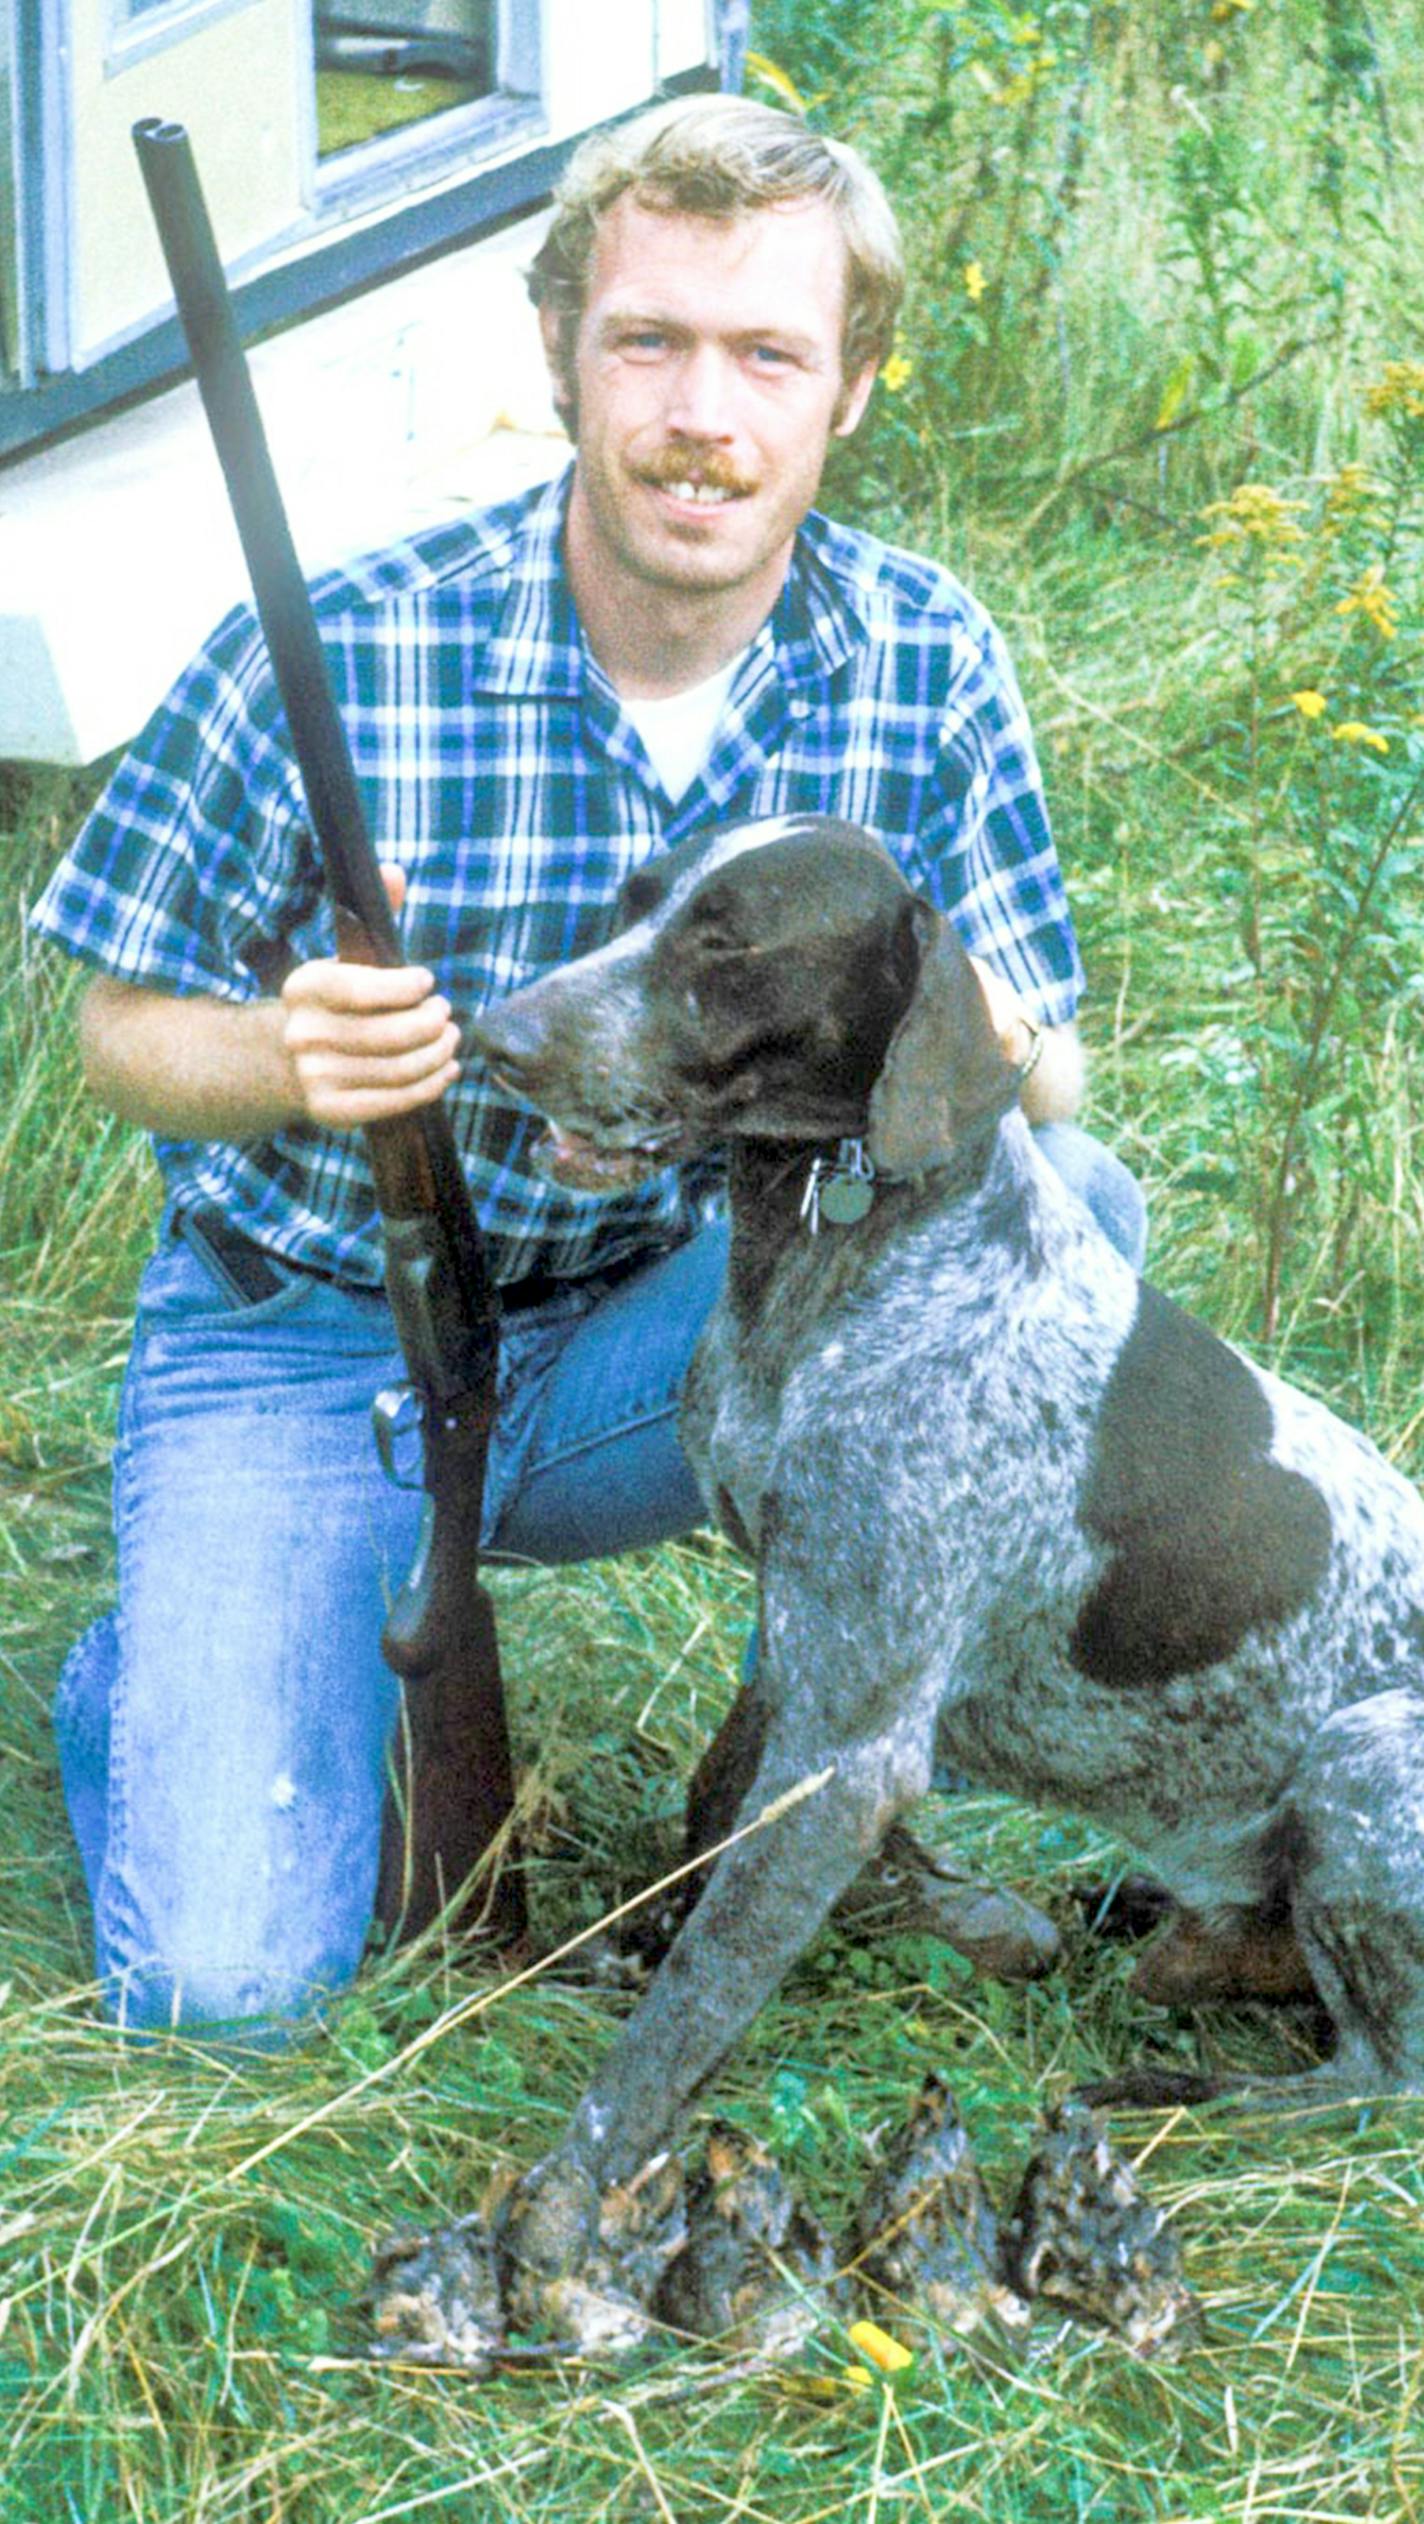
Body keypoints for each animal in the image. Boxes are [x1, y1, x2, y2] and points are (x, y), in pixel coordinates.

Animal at [472, 817, 1424, 2200]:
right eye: (634, 902)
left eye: (728, 940)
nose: (495, 1036)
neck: (845, 1263)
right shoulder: (803, 1632)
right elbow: (710, 1817)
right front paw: (635, 1945)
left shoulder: (852, 1744)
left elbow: (697, 1996)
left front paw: (566, 2197)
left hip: (1365, 1755)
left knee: (1377, 2081)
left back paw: (1182, 2097)